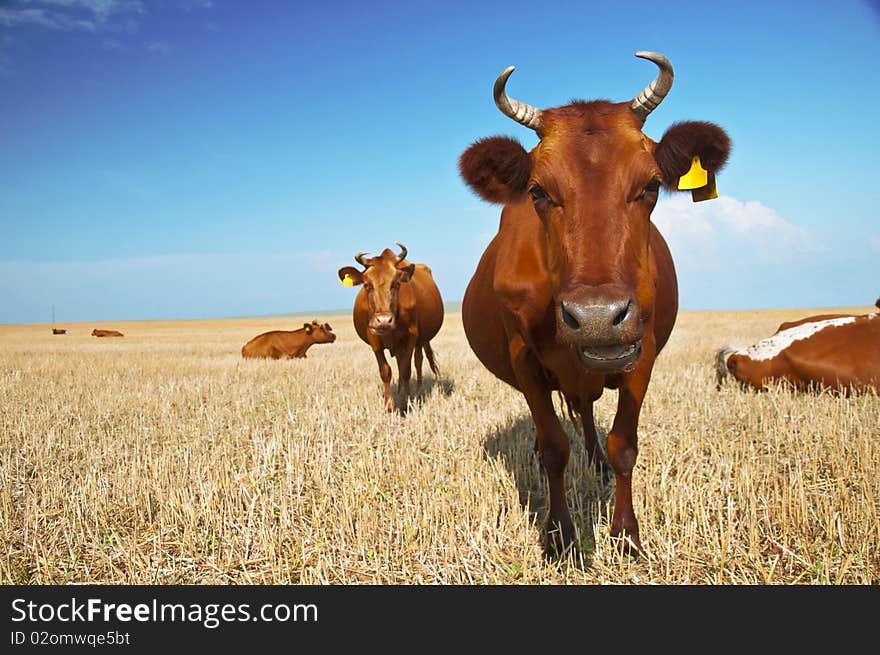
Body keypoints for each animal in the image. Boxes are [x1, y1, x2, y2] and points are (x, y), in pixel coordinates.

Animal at [338, 243, 446, 412]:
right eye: (367, 285)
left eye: (395, 284)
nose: (383, 320)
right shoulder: (374, 339)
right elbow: (386, 371)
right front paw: (389, 405)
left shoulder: (411, 337)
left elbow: (407, 370)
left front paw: (405, 402)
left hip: (420, 340)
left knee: (418, 361)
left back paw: (418, 391)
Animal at [458, 51, 732, 556]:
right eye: (538, 191)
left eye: (651, 185)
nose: (598, 318)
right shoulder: (523, 358)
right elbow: (553, 447)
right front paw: (560, 534)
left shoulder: (641, 349)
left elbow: (624, 443)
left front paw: (625, 532)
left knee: (586, 413)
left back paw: (597, 460)